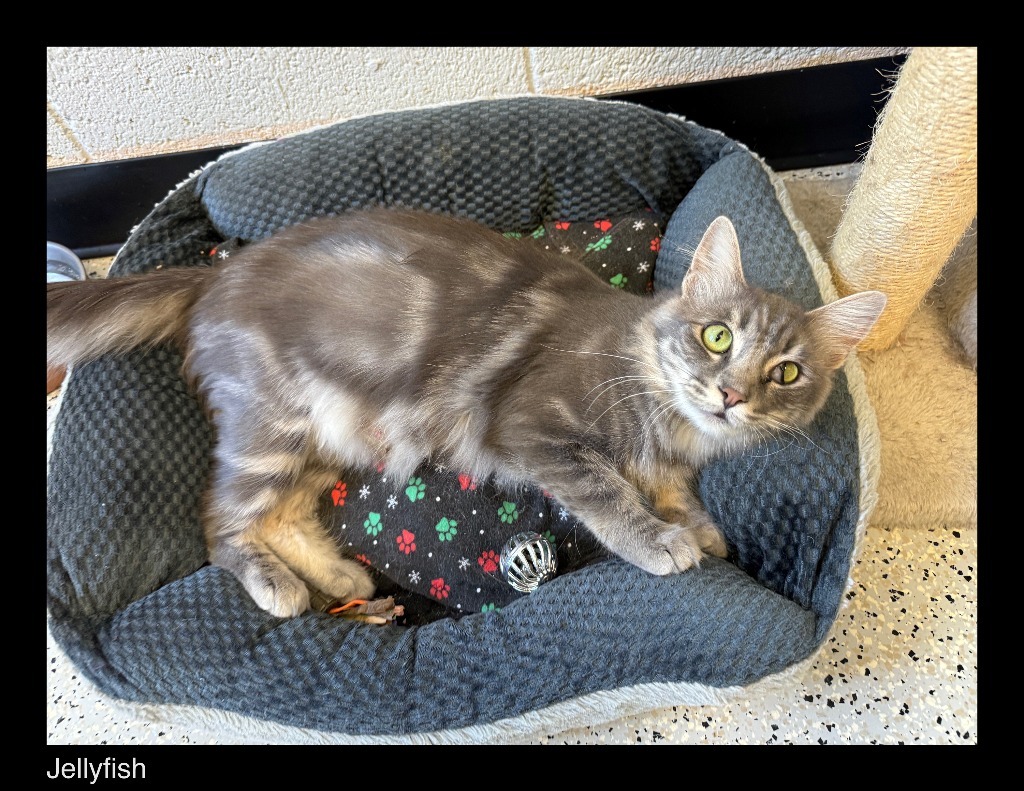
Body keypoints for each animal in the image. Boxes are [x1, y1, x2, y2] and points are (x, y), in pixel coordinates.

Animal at [44, 210, 884, 618]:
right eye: (717, 337)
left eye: (786, 373)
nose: (732, 394)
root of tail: (215, 277)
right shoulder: (537, 426)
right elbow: (612, 492)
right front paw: (662, 540)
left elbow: (673, 491)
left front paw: (697, 523)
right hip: (272, 426)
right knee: (222, 521)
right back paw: (278, 587)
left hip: (331, 437)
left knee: (279, 514)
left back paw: (337, 570)